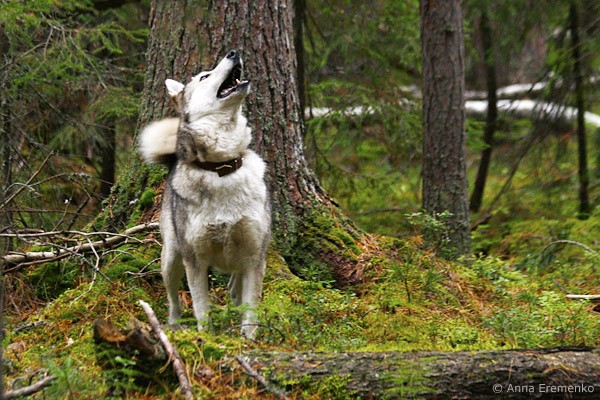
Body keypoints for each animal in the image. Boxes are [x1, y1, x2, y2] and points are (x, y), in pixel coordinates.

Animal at [139, 50, 271, 339]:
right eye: (204, 76)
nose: (233, 51)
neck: (222, 169)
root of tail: (173, 161)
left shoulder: (254, 257)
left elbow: (251, 311)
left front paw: (248, 340)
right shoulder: (195, 261)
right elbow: (201, 308)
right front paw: (205, 337)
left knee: (234, 288)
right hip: (171, 259)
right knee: (173, 299)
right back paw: (173, 325)